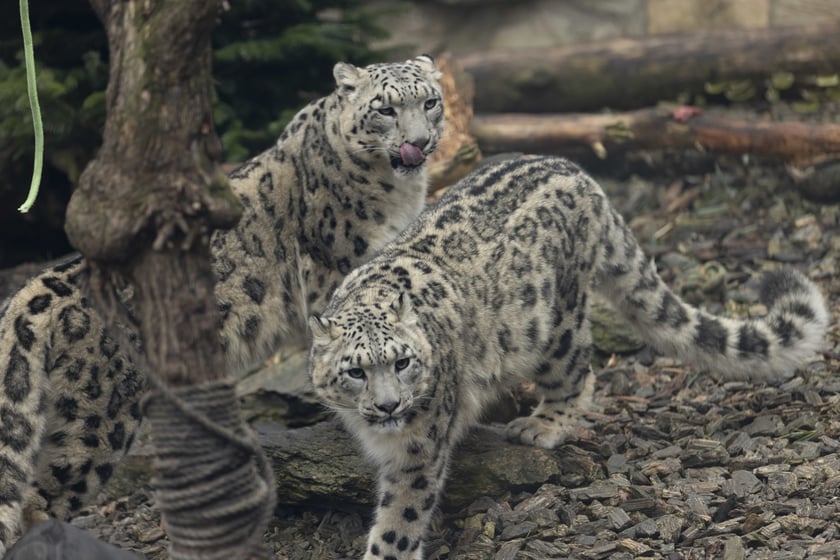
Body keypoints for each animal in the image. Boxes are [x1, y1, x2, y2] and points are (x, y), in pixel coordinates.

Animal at [0, 54, 446, 552]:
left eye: (429, 102)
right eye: (385, 109)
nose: (419, 143)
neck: (397, 191)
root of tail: (35, 289)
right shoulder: (334, 268)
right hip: (96, 421)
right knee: (40, 499)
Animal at [308, 153, 828, 560]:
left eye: (402, 362)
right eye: (355, 371)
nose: (390, 405)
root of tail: (579, 173)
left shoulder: (420, 446)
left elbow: (400, 517)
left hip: (557, 324)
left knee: (579, 373)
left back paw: (539, 425)